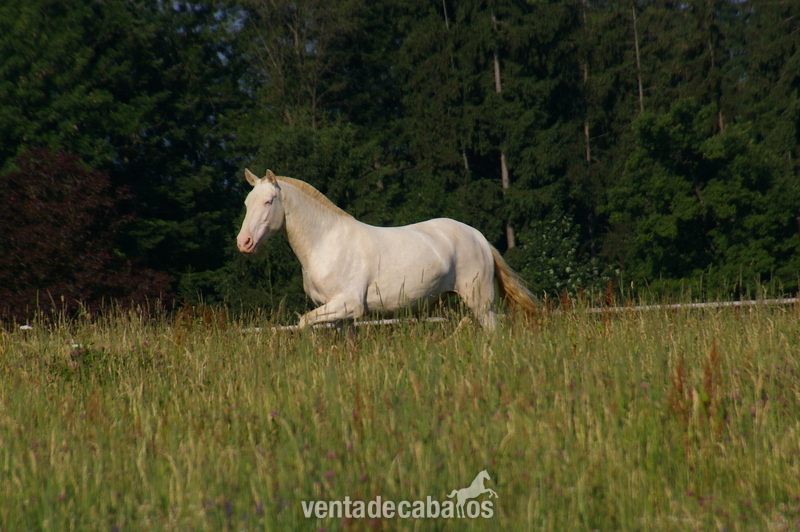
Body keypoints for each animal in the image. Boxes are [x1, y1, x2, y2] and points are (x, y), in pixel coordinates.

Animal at [236, 169, 536, 331]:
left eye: (268, 201)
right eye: (247, 202)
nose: (244, 243)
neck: (327, 243)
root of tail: (479, 237)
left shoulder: (348, 305)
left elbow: (303, 323)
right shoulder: (340, 316)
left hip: (480, 302)